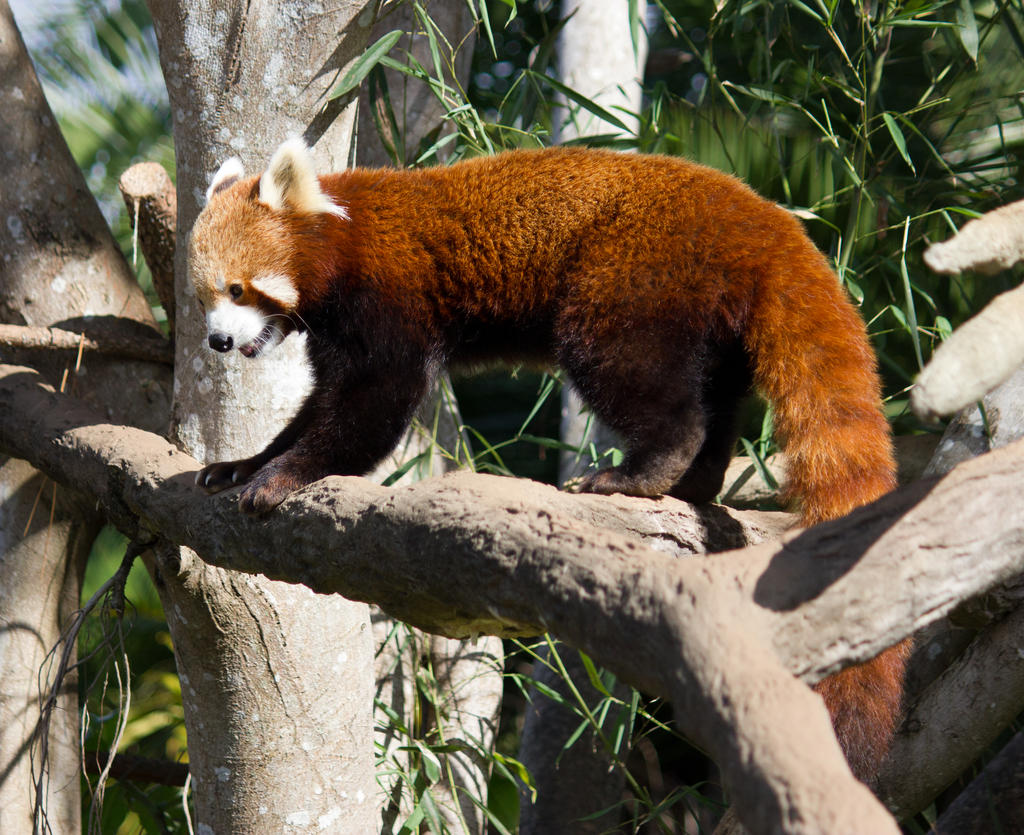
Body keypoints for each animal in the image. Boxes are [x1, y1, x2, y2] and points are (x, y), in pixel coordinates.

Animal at [190, 140, 905, 786]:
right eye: (203, 299)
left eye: (239, 288)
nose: (218, 340)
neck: (345, 238)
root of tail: (757, 214)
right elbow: (316, 409)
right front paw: (245, 463)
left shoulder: (388, 297)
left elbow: (370, 407)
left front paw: (284, 476)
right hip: (712, 316)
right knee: (717, 398)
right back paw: (695, 483)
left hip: (628, 276)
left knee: (643, 379)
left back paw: (640, 472)